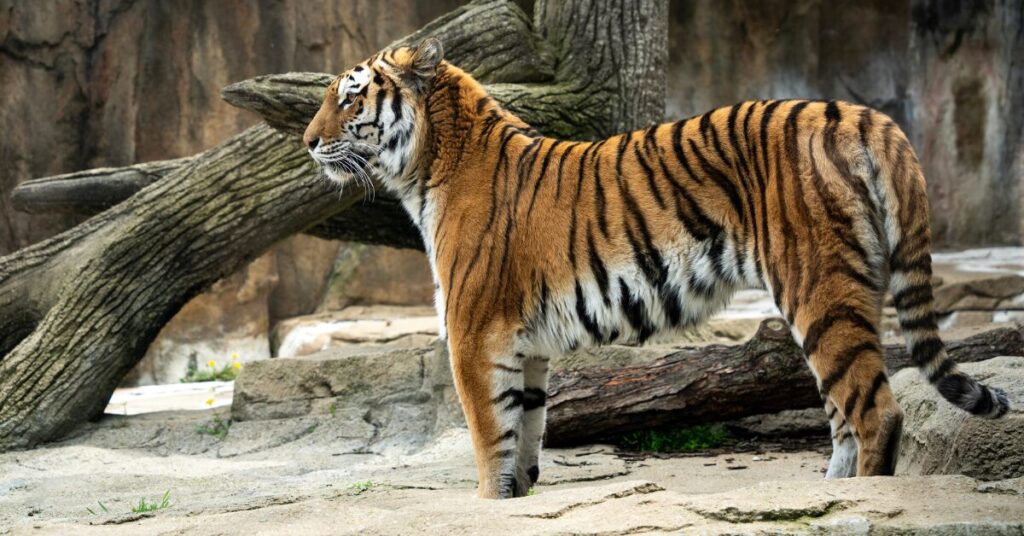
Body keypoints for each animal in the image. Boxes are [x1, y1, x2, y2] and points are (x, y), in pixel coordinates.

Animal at [302, 38, 1010, 499]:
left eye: (351, 98)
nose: (307, 142)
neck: (427, 165)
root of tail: (863, 115)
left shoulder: (477, 336)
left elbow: (488, 441)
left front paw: (488, 503)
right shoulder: (526, 348)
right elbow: (524, 438)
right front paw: (519, 495)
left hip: (821, 289)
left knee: (875, 414)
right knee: (843, 416)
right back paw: (825, 494)